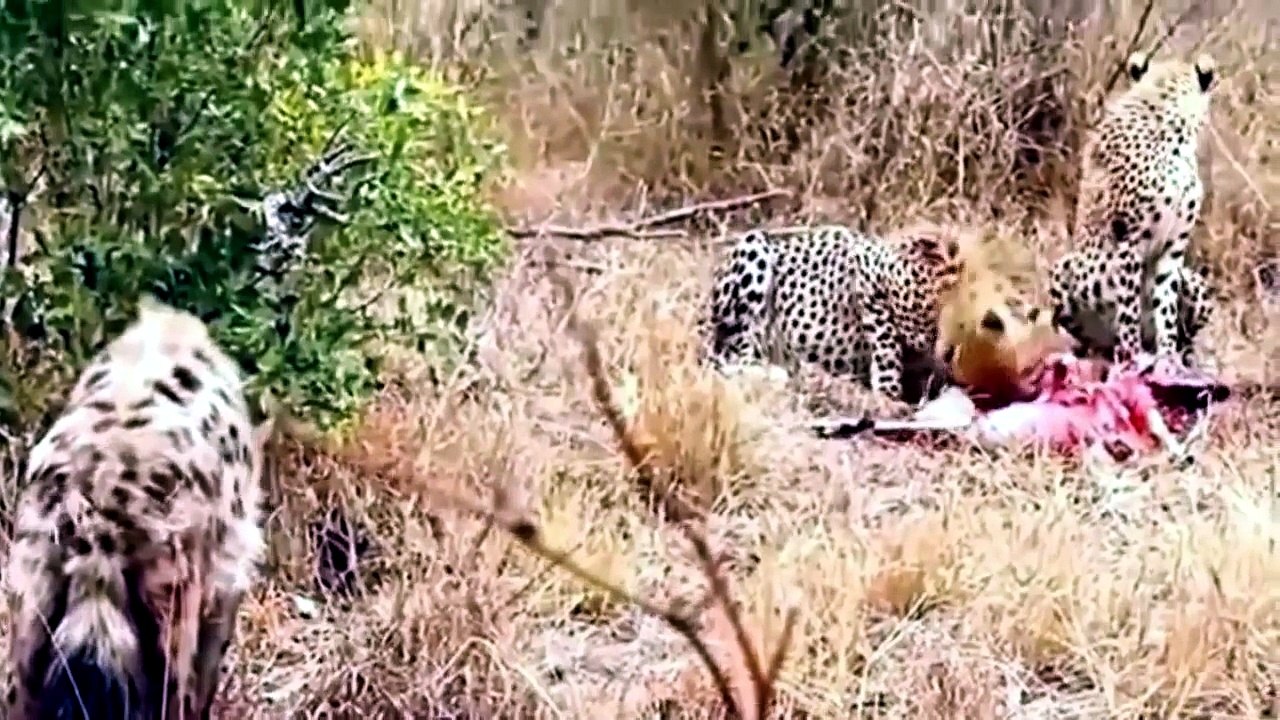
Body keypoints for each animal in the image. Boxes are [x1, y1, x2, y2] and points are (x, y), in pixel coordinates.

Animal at [699, 223, 970, 403]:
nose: (948, 351)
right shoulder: (867, 270)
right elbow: (886, 337)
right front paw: (888, 389)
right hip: (753, 246)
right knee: (730, 351)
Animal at [1051, 49, 1217, 366]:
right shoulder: (1129, 239)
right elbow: (1128, 309)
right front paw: (1132, 357)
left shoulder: (1173, 250)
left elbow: (1166, 308)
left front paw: (1167, 358)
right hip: (1064, 268)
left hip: (1193, 279)